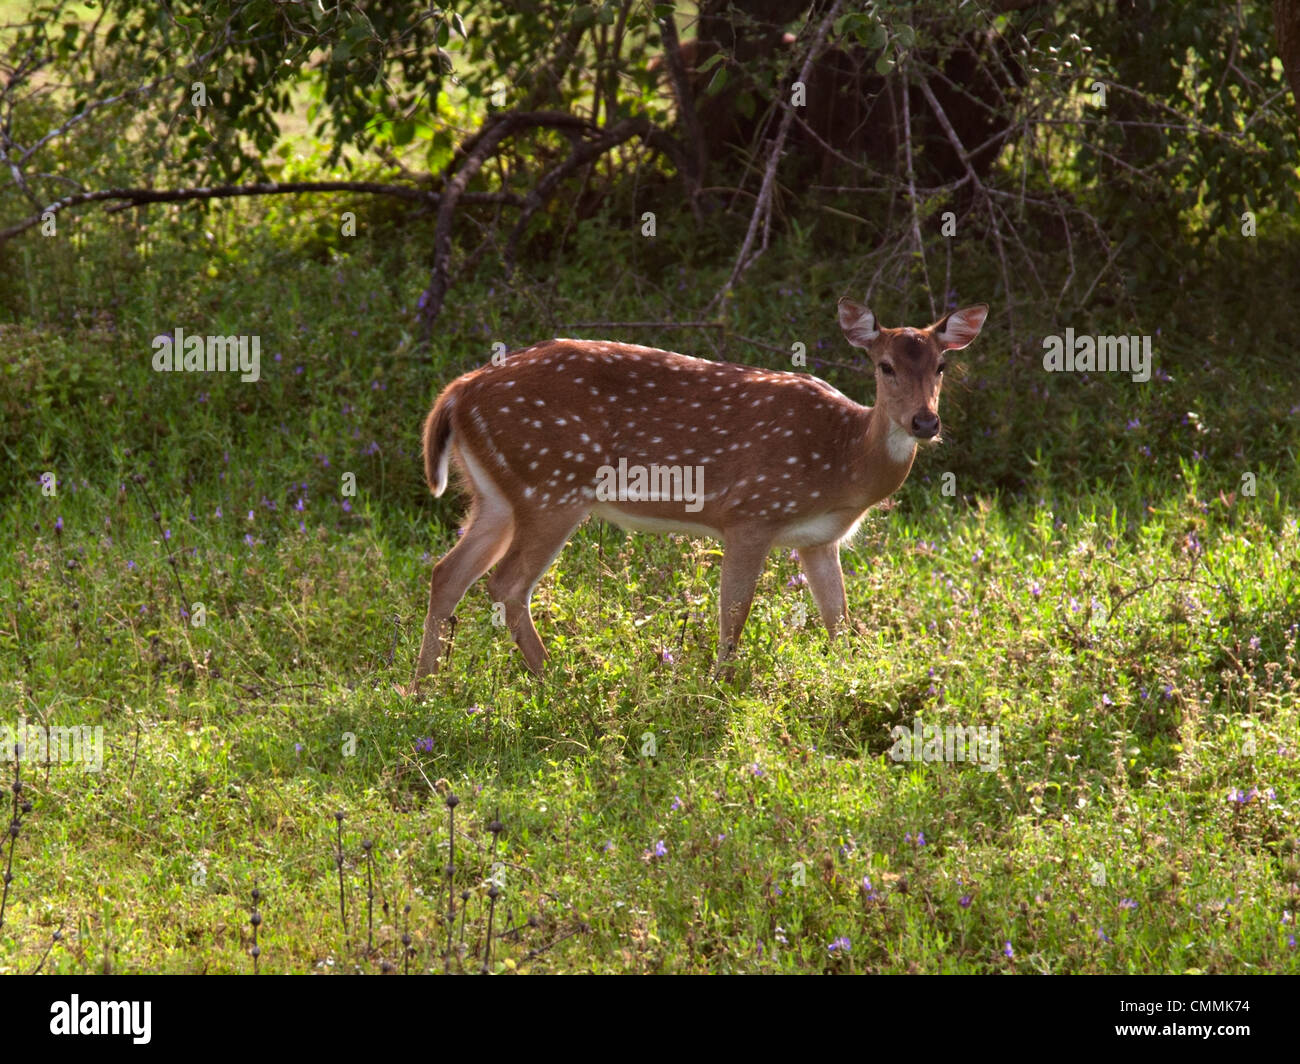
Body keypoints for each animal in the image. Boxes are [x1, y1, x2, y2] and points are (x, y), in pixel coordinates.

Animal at [405, 296, 982, 686]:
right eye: (885, 366)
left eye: (941, 365)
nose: (925, 422)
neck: (844, 461)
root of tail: (457, 393)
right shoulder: (751, 513)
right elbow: (735, 615)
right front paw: (717, 687)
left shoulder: (819, 539)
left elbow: (839, 620)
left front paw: (850, 681)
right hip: (552, 486)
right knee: (505, 584)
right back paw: (558, 680)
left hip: (496, 496)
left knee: (447, 573)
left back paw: (423, 689)